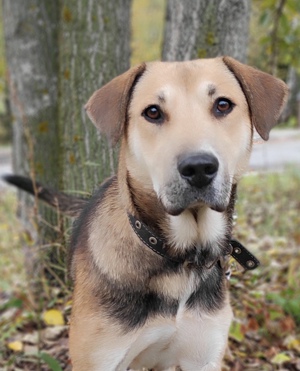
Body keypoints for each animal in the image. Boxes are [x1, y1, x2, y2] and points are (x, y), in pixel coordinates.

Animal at [5, 56, 288, 370]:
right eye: (153, 112)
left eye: (223, 105)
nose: (199, 167)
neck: (179, 260)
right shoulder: (99, 359)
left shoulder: (203, 356)